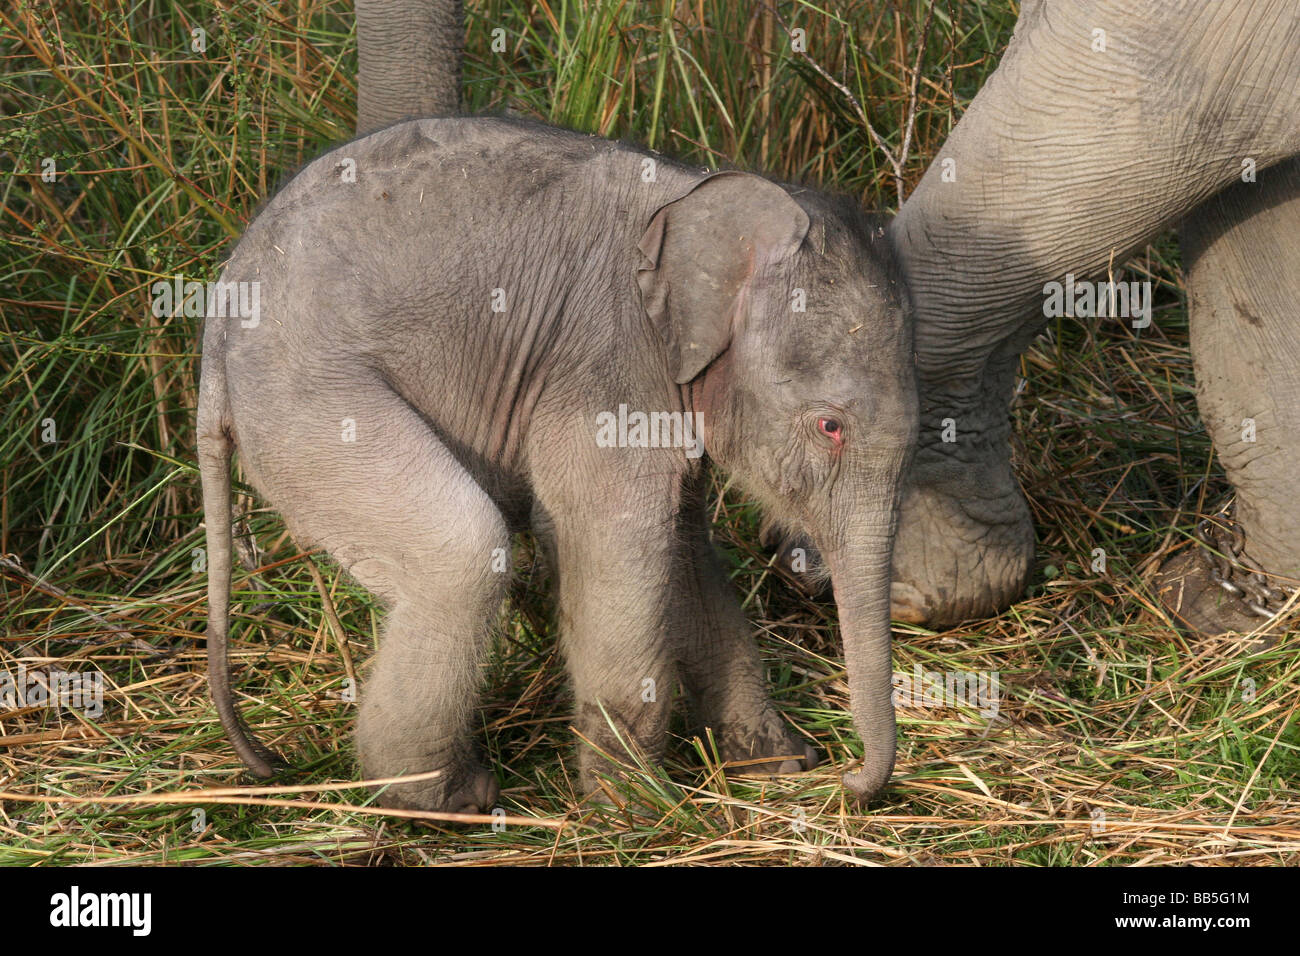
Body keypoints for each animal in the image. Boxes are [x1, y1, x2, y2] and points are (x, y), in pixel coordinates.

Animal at [197, 115, 920, 811]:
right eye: (830, 426)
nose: (847, 777)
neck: (696, 197)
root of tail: (215, 333)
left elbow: (683, 553)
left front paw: (778, 762)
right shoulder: (605, 366)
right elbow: (613, 543)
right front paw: (638, 810)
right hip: (309, 402)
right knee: (461, 555)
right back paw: (445, 801)